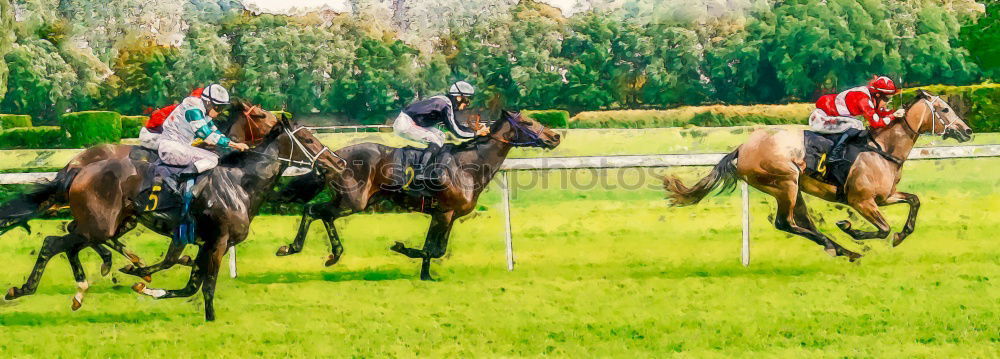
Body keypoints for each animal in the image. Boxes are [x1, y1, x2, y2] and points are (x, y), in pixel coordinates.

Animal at [660, 92, 972, 262]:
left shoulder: (884, 197)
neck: (883, 149)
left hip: (793, 188)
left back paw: (843, 251)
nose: (967, 131)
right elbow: (882, 228)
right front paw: (850, 228)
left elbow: (914, 200)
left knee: (802, 222)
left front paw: (901, 235)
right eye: (945, 109)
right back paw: (840, 247)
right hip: (784, 181)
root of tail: (743, 147)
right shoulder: (862, 201)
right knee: (786, 223)